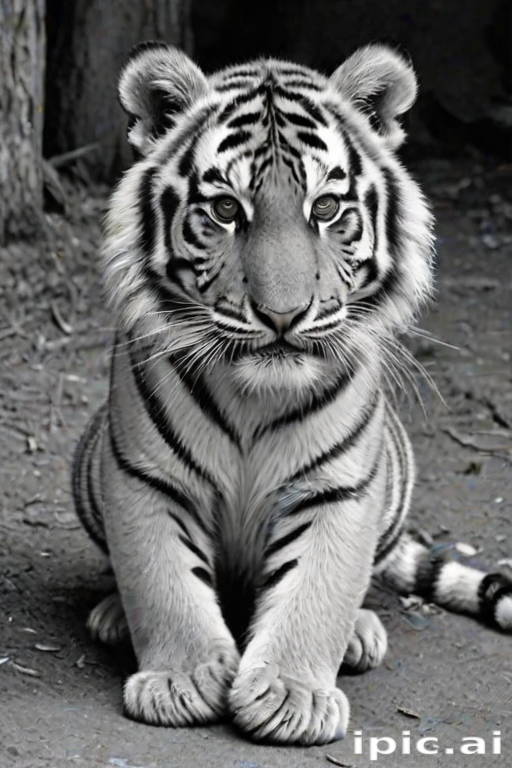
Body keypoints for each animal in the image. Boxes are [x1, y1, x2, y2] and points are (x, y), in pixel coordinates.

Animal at [72, 41, 512, 745]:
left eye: (325, 209)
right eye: (226, 211)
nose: (283, 315)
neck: (256, 397)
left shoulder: (341, 487)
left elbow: (317, 590)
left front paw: (290, 696)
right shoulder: (144, 475)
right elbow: (161, 578)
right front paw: (180, 679)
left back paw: (360, 634)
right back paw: (112, 615)